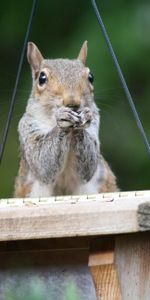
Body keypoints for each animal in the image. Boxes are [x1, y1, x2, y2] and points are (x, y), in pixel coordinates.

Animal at [14, 41, 119, 197]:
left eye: (91, 77)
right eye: (42, 78)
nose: (72, 102)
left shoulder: (95, 125)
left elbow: (89, 165)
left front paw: (84, 119)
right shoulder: (27, 127)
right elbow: (41, 162)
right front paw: (62, 121)